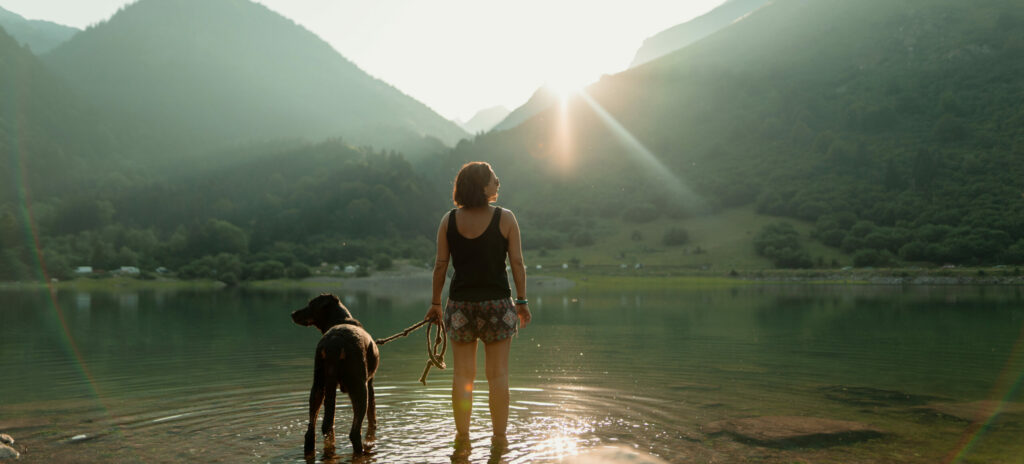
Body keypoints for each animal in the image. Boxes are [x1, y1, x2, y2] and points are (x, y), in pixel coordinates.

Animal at [290, 294, 378, 454]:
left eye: (310, 304)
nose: (293, 313)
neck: (341, 319)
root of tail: (334, 345)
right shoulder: (370, 382)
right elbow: (372, 414)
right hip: (359, 386)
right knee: (354, 432)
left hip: (319, 383)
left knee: (313, 431)